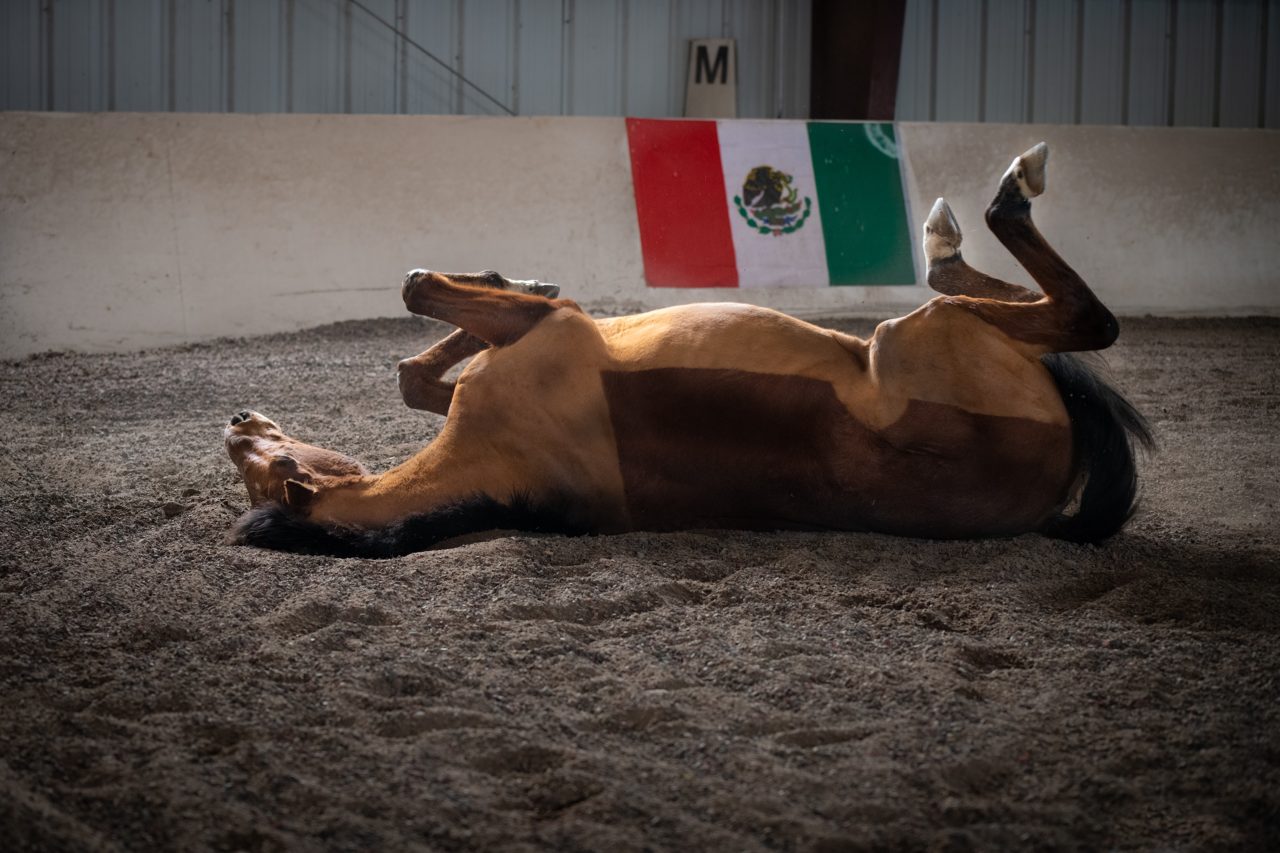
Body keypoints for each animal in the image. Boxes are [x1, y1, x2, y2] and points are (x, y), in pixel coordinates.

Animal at [225, 143, 1152, 557]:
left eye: (267, 456)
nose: (237, 422)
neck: (492, 462)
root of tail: (1050, 476)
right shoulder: (549, 337)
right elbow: (421, 296)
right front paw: (508, 276)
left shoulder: (522, 344)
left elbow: (417, 360)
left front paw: (516, 272)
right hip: (930, 331)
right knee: (1078, 317)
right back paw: (989, 204)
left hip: (937, 329)